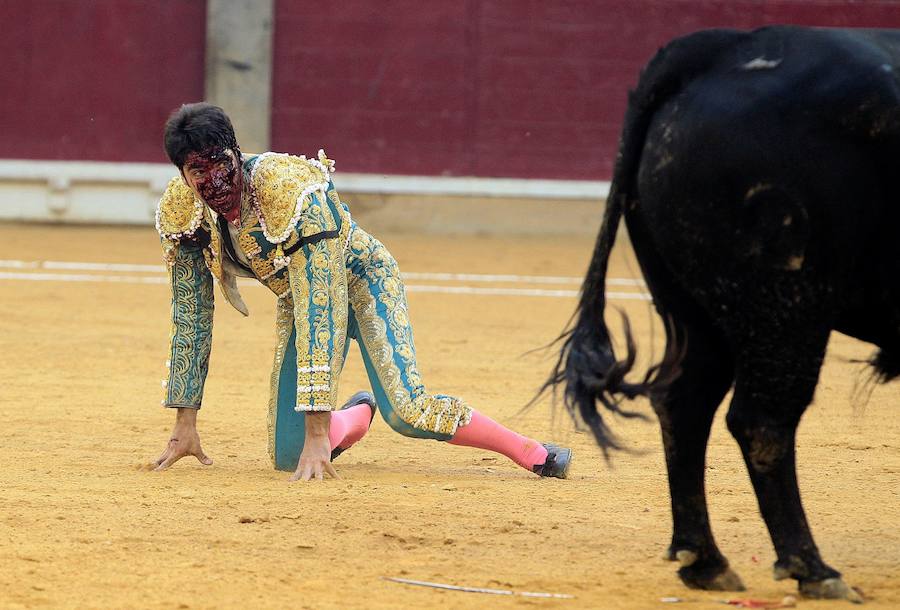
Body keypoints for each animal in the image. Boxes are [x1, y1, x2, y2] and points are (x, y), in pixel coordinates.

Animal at [548, 27, 900, 600]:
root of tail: (723, 47)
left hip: (695, 314)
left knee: (684, 403)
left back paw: (705, 562)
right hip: (783, 308)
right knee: (762, 423)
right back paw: (813, 569)